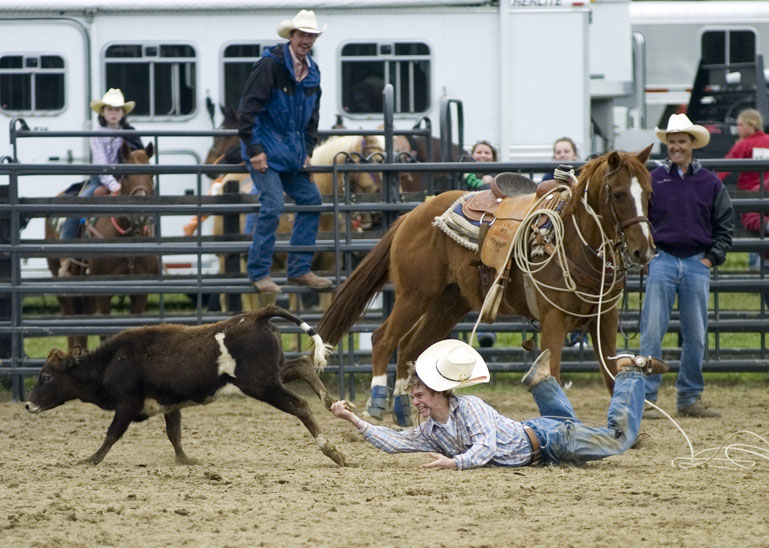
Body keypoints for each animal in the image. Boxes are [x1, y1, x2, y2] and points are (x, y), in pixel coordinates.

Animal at [26, 304, 344, 466]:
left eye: (46, 376)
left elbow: (112, 433)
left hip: (260, 384)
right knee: (302, 365)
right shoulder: (169, 403)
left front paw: (91, 459)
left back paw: (332, 451)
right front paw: (185, 460)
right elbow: (174, 433)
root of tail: (256, 315)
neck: (111, 361)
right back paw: (330, 401)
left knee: (300, 405)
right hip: (269, 374)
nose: (28, 404)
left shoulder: (126, 404)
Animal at [318, 147, 656, 428]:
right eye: (619, 195)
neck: (574, 242)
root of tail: (410, 215)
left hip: (449, 304)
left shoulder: (606, 319)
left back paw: (403, 409)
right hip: (414, 295)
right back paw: (378, 402)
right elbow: (554, 374)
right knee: (383, 339)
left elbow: (612, 374)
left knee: (410, 347)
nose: (644, 250)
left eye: (649, 194)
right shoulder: (554, 320)